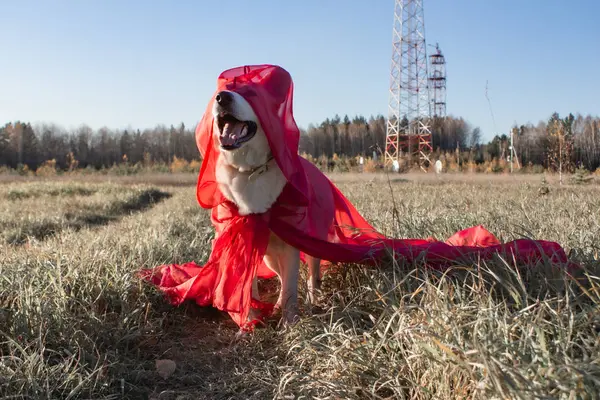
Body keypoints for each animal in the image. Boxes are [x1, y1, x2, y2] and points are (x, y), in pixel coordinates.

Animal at [212, 90, 324, 324]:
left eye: (250, 93)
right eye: (222, 89)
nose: (222, 97)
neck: (249, 171)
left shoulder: (291, 246)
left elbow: (291, 289)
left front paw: (291, 325)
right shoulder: (244, 238)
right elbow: (248, 287)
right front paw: (249, 322)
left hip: (310, 245)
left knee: (311, 275)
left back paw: (312, 301)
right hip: (269, 256)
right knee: (281, 277)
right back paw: (277, 306)